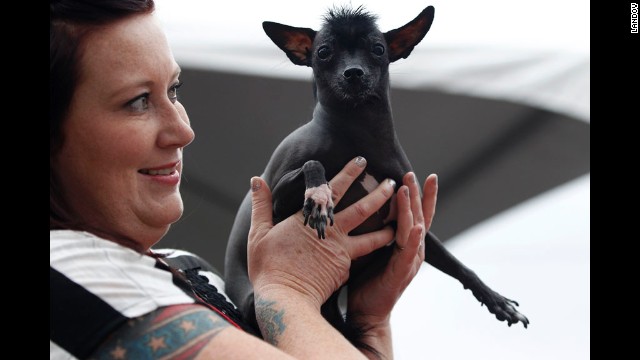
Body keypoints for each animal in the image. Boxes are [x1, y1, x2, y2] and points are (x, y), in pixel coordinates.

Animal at [225, 2, 528, 346]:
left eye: (378, 49)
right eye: (324, 52)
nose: (353, 73)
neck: (361, 132)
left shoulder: (410, 218)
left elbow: (456, 264)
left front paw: (496, 299)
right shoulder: (276, 198)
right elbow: (313, 164)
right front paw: (319, 196)